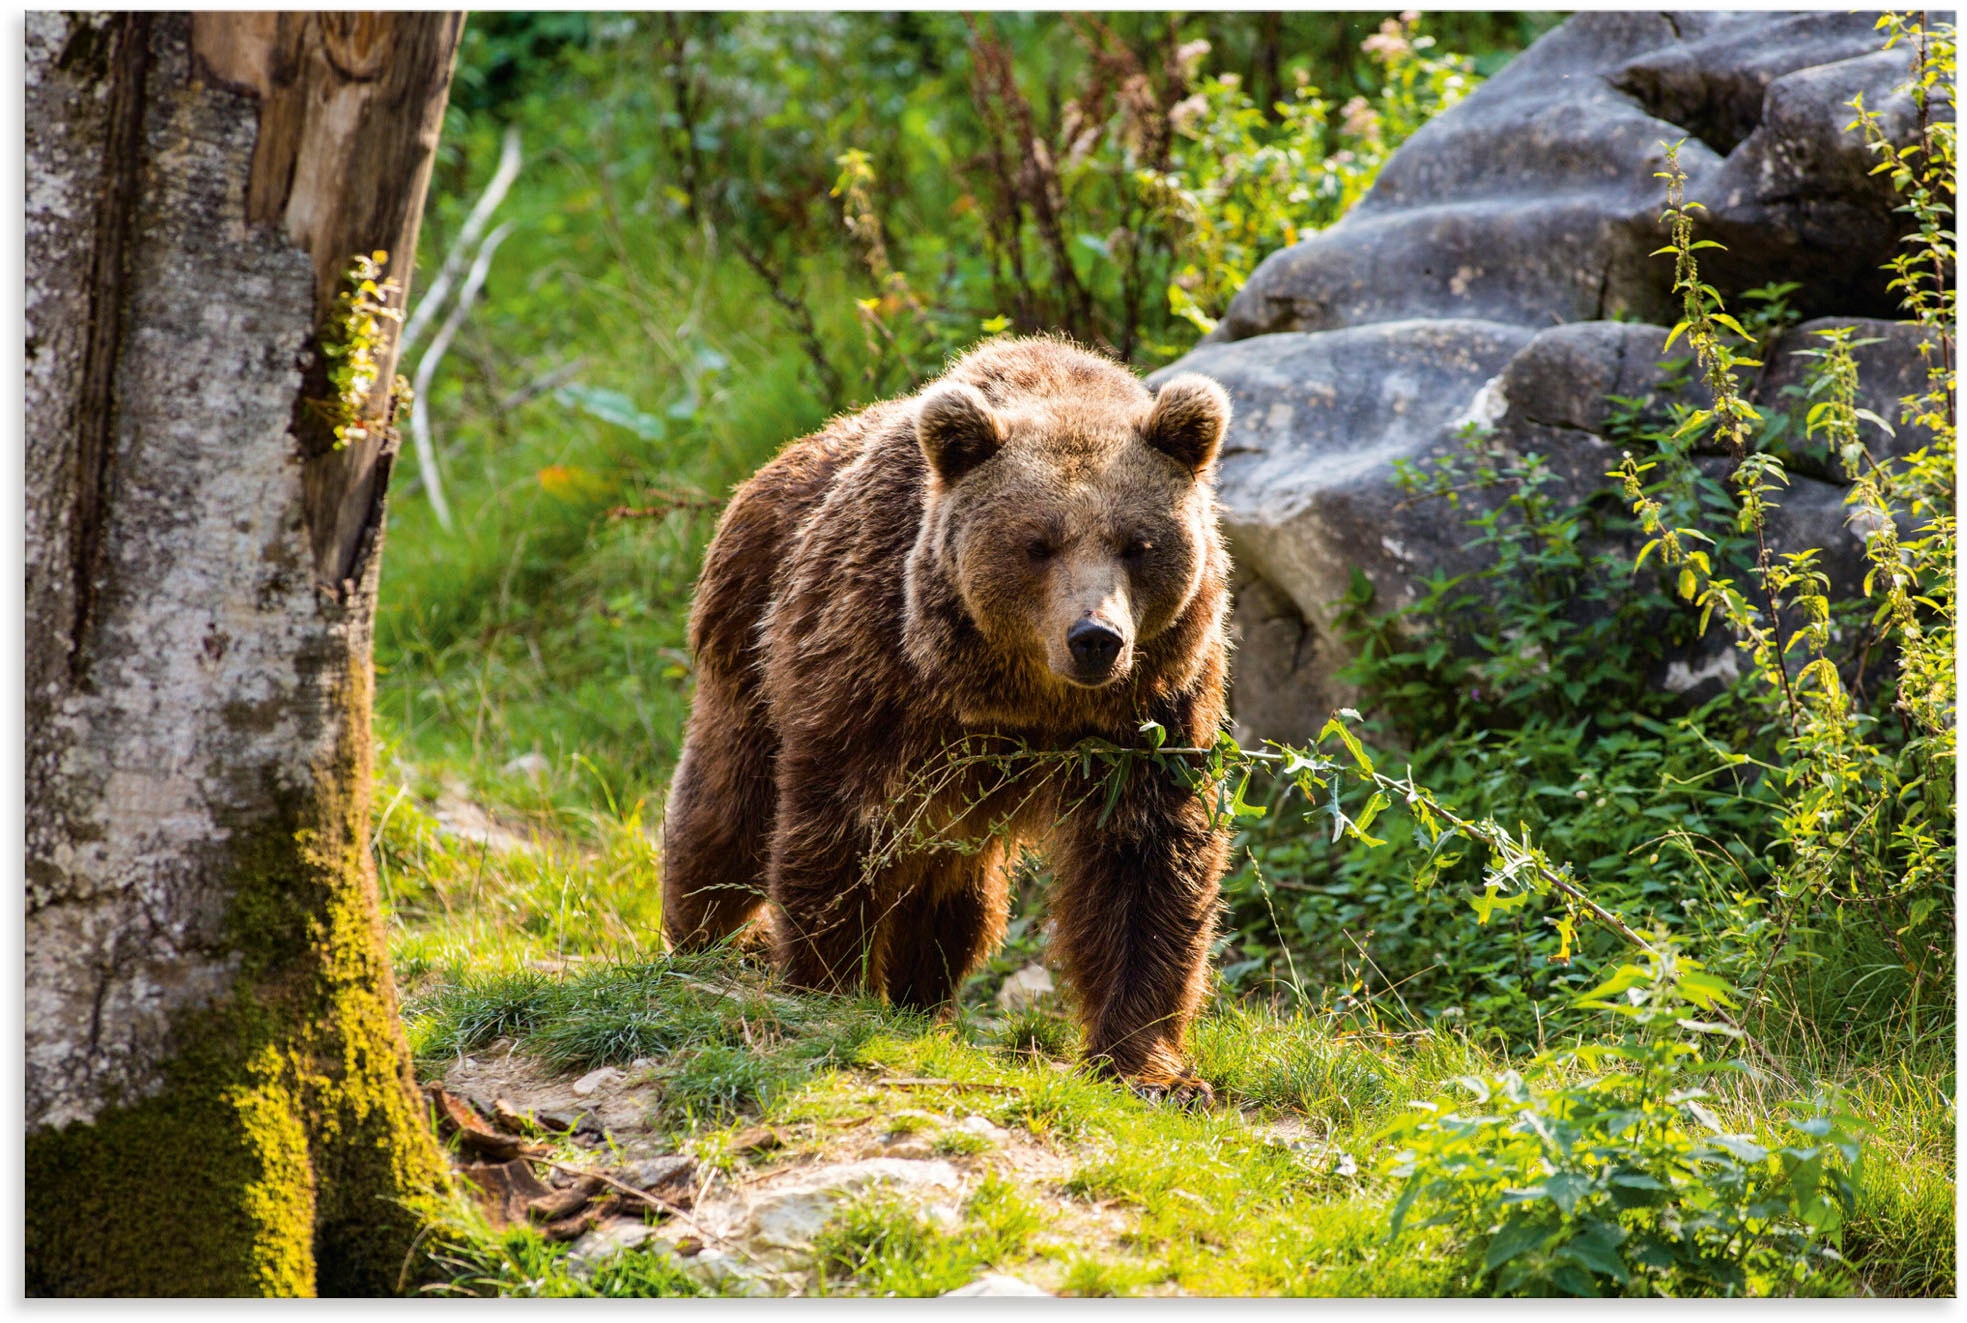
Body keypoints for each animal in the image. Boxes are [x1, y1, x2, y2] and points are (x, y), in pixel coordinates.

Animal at [668, 336, 1235, 1100]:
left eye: (1137, 543)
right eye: (1037, 542)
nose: (1095, 637)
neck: (1026, 697)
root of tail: (774, 463)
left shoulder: (1153, 710)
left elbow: (1145, 862)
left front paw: (1146, 1063)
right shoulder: (876, 674)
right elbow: (838, 830)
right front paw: (829, 986)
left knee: (958, 897)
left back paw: (924, 996)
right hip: (748, 645)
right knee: (725, 813)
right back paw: (702, 939)